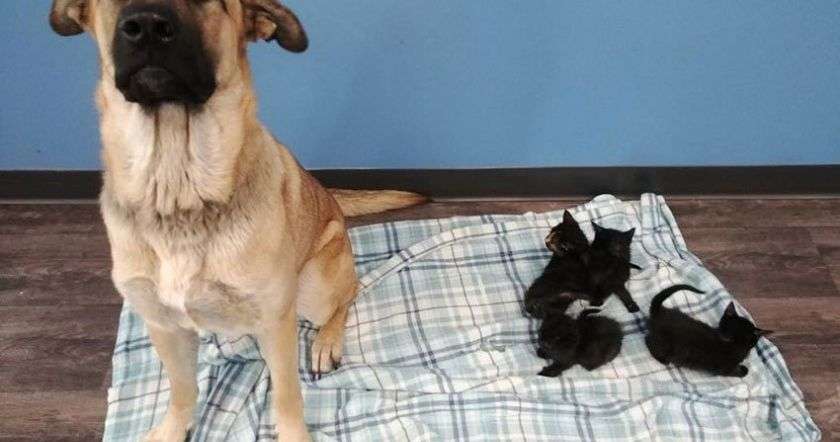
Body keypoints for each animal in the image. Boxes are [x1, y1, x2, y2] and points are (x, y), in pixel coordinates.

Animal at [49, 1, 425, 440]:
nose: (146, 27)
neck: (179, 195)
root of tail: (332, 201)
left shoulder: (275, 320)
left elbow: (287, 396)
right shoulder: (163, 324)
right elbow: (182, 389)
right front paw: (174, 428)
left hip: (314, 288)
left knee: (348, 295)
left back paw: (326, 342)